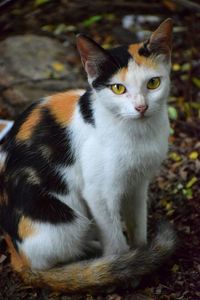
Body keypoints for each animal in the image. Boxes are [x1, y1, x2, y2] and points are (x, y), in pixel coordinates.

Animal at [0, 19, 176, 292]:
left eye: (153, 83)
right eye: (118, 88)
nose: (141, 107)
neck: (138, 134)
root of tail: (16, 257)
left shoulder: (138, 184)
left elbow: (138, 224)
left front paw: (142, 254)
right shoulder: (98, 194)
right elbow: (114, 238)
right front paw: (123, 269)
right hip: (66, 219)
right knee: (51, 261)